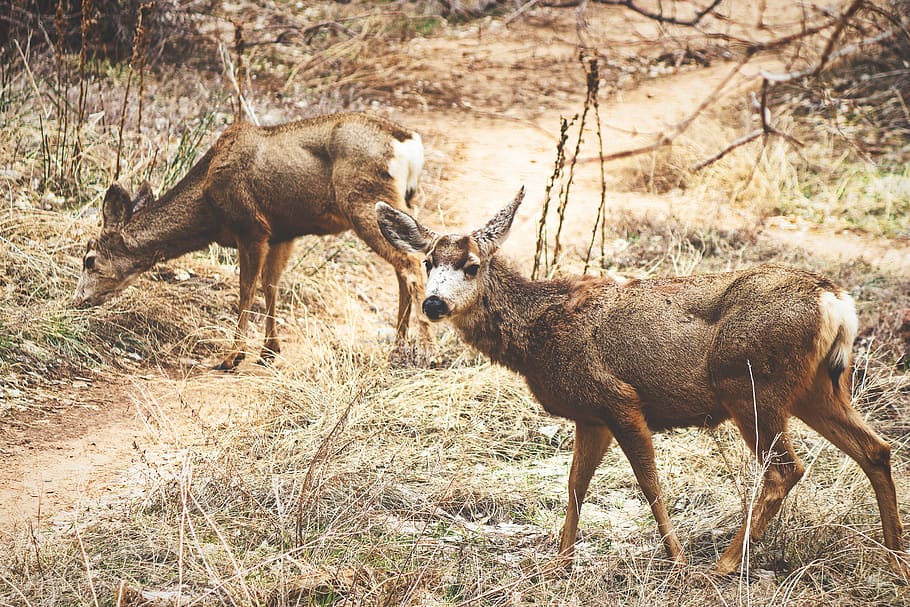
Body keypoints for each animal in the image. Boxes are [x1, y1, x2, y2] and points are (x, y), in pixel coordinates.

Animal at [72, 112, 432, 369]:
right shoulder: (282, 233)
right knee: (404, 267)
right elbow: (271, 285)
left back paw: (426, 350)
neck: (207, 204)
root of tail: (409, 144)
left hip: (364, 202)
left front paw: (233, 356)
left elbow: (246, 288)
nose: (77, 300)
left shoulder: (251, 227)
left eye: (89, 260)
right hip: (398, 205)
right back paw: (398, 347)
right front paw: (269, 350)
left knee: (412, 264)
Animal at [375, 187, 908, 578]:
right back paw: (894, 559)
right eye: (428, 262)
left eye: (471, 266)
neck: (541, 332)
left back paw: (722, 564)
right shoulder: (590, 415)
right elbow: (575, 485)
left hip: (750, 384)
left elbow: (648, 483)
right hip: (817, 387)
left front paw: (676, 559)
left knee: (784, 469)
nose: (434, 304)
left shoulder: (620, 398)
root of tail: (835, 301)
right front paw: (558, 562)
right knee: (876, 449)